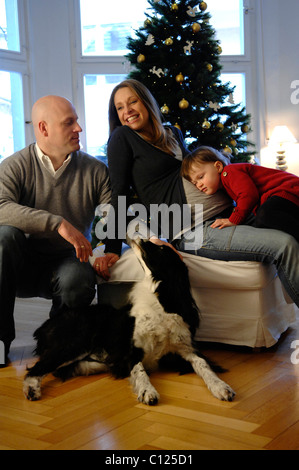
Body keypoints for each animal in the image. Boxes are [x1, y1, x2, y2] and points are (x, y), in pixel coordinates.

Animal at [23, 241, 236, 402]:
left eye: (161, 249)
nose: (141, 238)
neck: (160, 300)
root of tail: (45, 325)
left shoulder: (185, 349)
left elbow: (204, 365)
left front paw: (222, 387)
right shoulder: (129, 351)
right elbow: (140, 371)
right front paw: (148, 392)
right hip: (75, 344)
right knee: (35, 369)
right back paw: (32, 390)